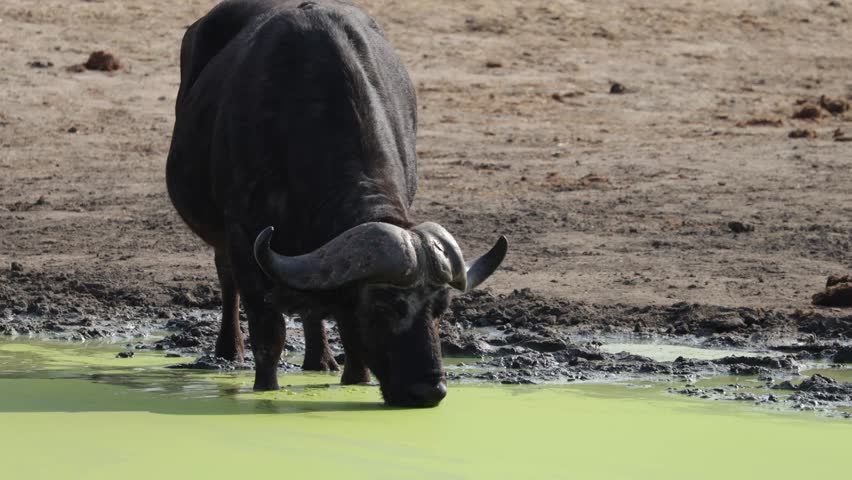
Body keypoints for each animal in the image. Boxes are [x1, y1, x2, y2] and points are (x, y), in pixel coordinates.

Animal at [166, 0, 507, 407]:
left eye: (440, 307)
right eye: (384, 305)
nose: (428, 390)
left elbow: (347, 333)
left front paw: (354, 378)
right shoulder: (243, 237)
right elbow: (269, 334)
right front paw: (266, 390)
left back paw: (320, 360)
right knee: (226, 278)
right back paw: (230, 351)